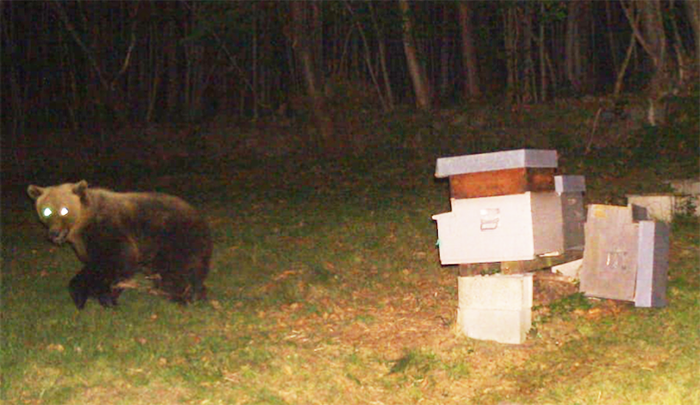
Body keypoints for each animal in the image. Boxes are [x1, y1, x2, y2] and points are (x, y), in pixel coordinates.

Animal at [27, 180, 212, 309]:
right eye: (47, 211)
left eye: (64, 210)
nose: (54, 233)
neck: (82, 226)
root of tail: (199, 216)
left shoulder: (110, 230)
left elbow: (118, 259)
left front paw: (102, 295)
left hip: (174, 238)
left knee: (176, 270)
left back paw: (181, 294)